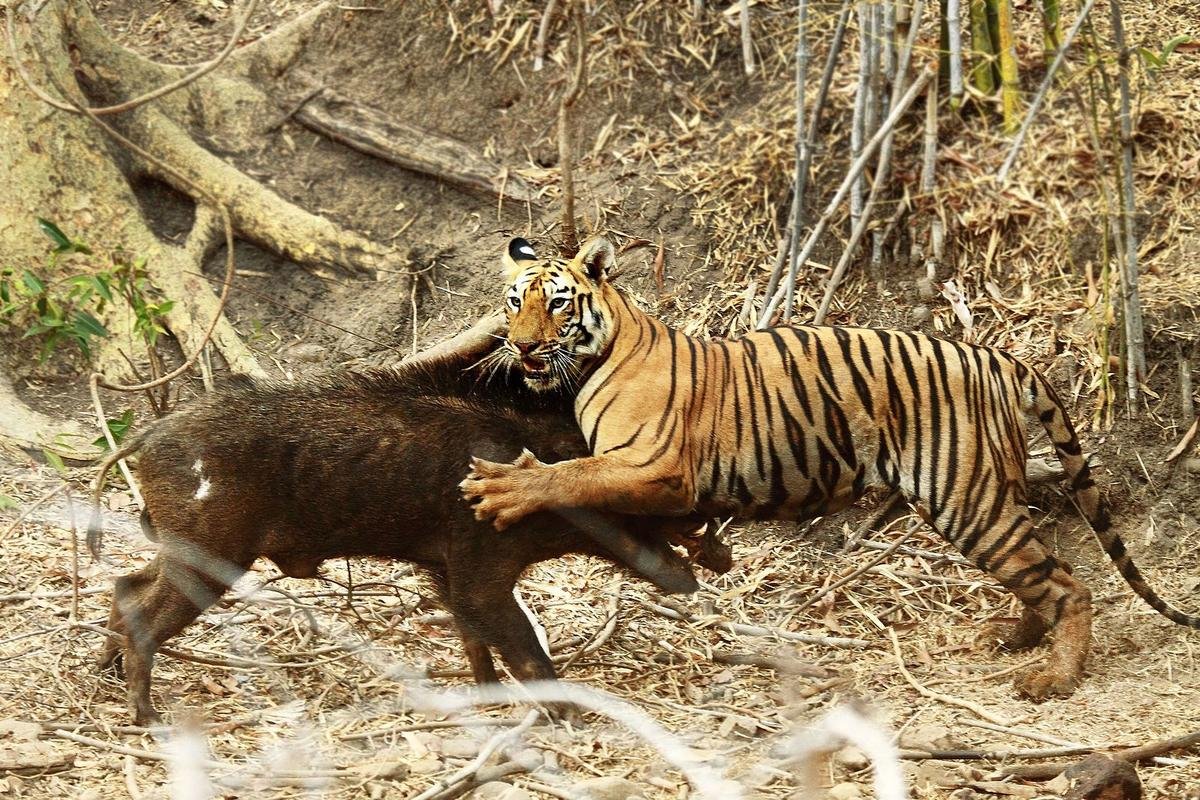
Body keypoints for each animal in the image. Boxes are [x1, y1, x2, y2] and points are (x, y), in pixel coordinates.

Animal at [460, 235, 1200, 695]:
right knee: (1042, 569)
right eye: (514, 301)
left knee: (1067, 582)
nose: (520, 347)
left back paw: (1054, 676)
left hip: (967, 499)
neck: (595, 356)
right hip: (993, 495)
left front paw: (503, 487)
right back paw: (1015, 639)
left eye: (557, 302)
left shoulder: (655, 463)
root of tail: (995, 354)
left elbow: (569, 474)